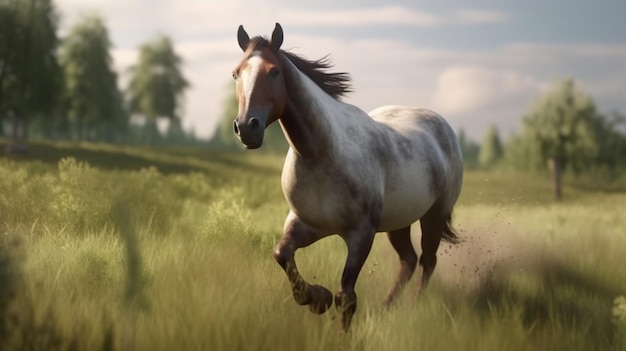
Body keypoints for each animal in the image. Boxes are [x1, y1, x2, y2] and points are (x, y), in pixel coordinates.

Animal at [232, 23, 460, 332]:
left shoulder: (360, 234)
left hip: (433, 216)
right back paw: (386, 309)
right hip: (398, 221)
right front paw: (317, 298)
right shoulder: (305, 223)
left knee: (427, 261)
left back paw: (413, 311)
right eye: (236, 73)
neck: (320, 153)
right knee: (408, 261)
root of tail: (443, 126)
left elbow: (346, 296)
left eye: (274, 71)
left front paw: (334, 320)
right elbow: (281, 254)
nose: (247, 127)